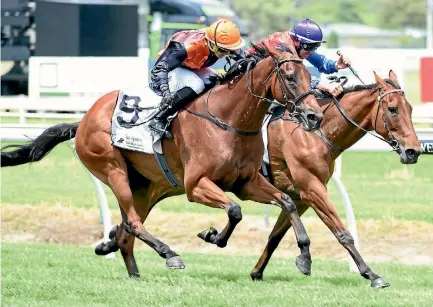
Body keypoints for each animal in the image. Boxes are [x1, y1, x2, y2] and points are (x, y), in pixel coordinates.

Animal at [1, 44, 322, 278]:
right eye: (290, 77)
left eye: (310, 77)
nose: (314, 116)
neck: (228, 119)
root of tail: (82, 121)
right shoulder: (196, 185)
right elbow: (234, 210)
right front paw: (212, 236)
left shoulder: (246, 182)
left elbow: (287, 202)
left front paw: (305, 256)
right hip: (113, 170)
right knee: (132, 223)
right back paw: (170, 255)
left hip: (142, 187)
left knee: (126, 231)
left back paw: (134, 274)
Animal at [248, 71, 420, 288]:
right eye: (392, 109)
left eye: (410, 108)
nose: (414, 151)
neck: (314, 134)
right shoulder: (313, 190)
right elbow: (342, 232)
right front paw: (371, 274)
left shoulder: (298, 197)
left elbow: (275, 235)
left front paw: (257, 272)